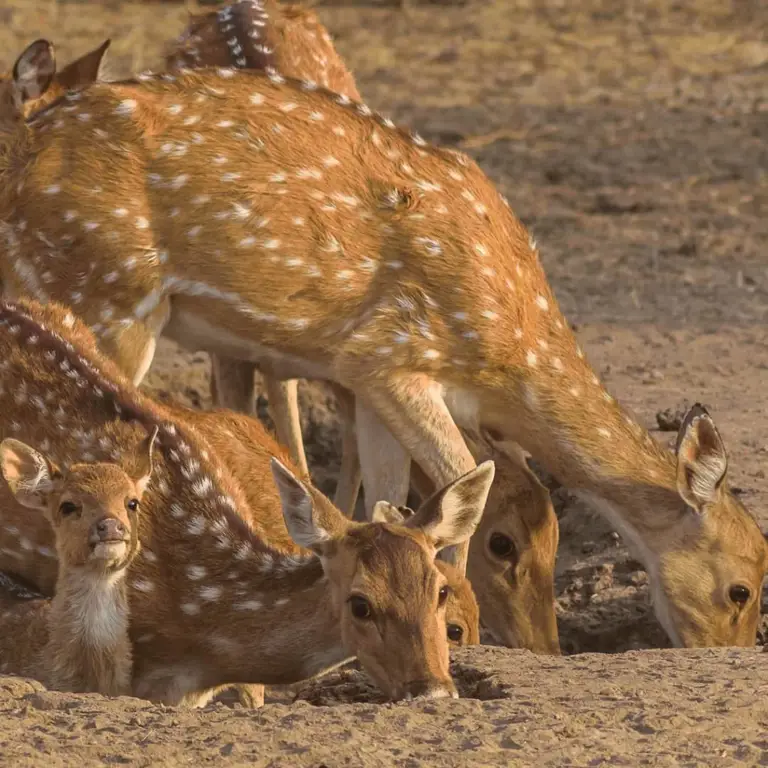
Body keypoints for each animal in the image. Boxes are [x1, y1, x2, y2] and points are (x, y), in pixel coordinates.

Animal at [0, 39, 764, 644]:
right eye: (743, 588)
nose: (720, 653)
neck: (510, 354)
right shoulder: (392, 357)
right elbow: (463, 487)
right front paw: (456, 625)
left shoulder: (366, 382)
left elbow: (390, 498)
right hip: (107, 294)